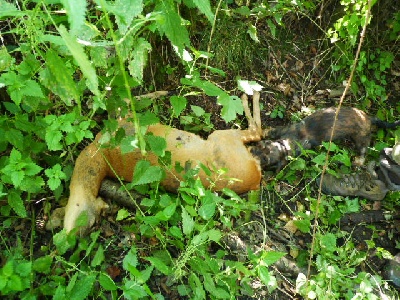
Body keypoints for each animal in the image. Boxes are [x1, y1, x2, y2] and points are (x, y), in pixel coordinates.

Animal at [252, 106, 400, 170]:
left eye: (265, 160)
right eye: (260, 145)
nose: (252, 153)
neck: (287, 142)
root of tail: (369, 118)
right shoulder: (285, 129)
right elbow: (273, 131)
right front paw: (264, 131)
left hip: (361, 139)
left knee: (363, 151)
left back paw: (357, 162)